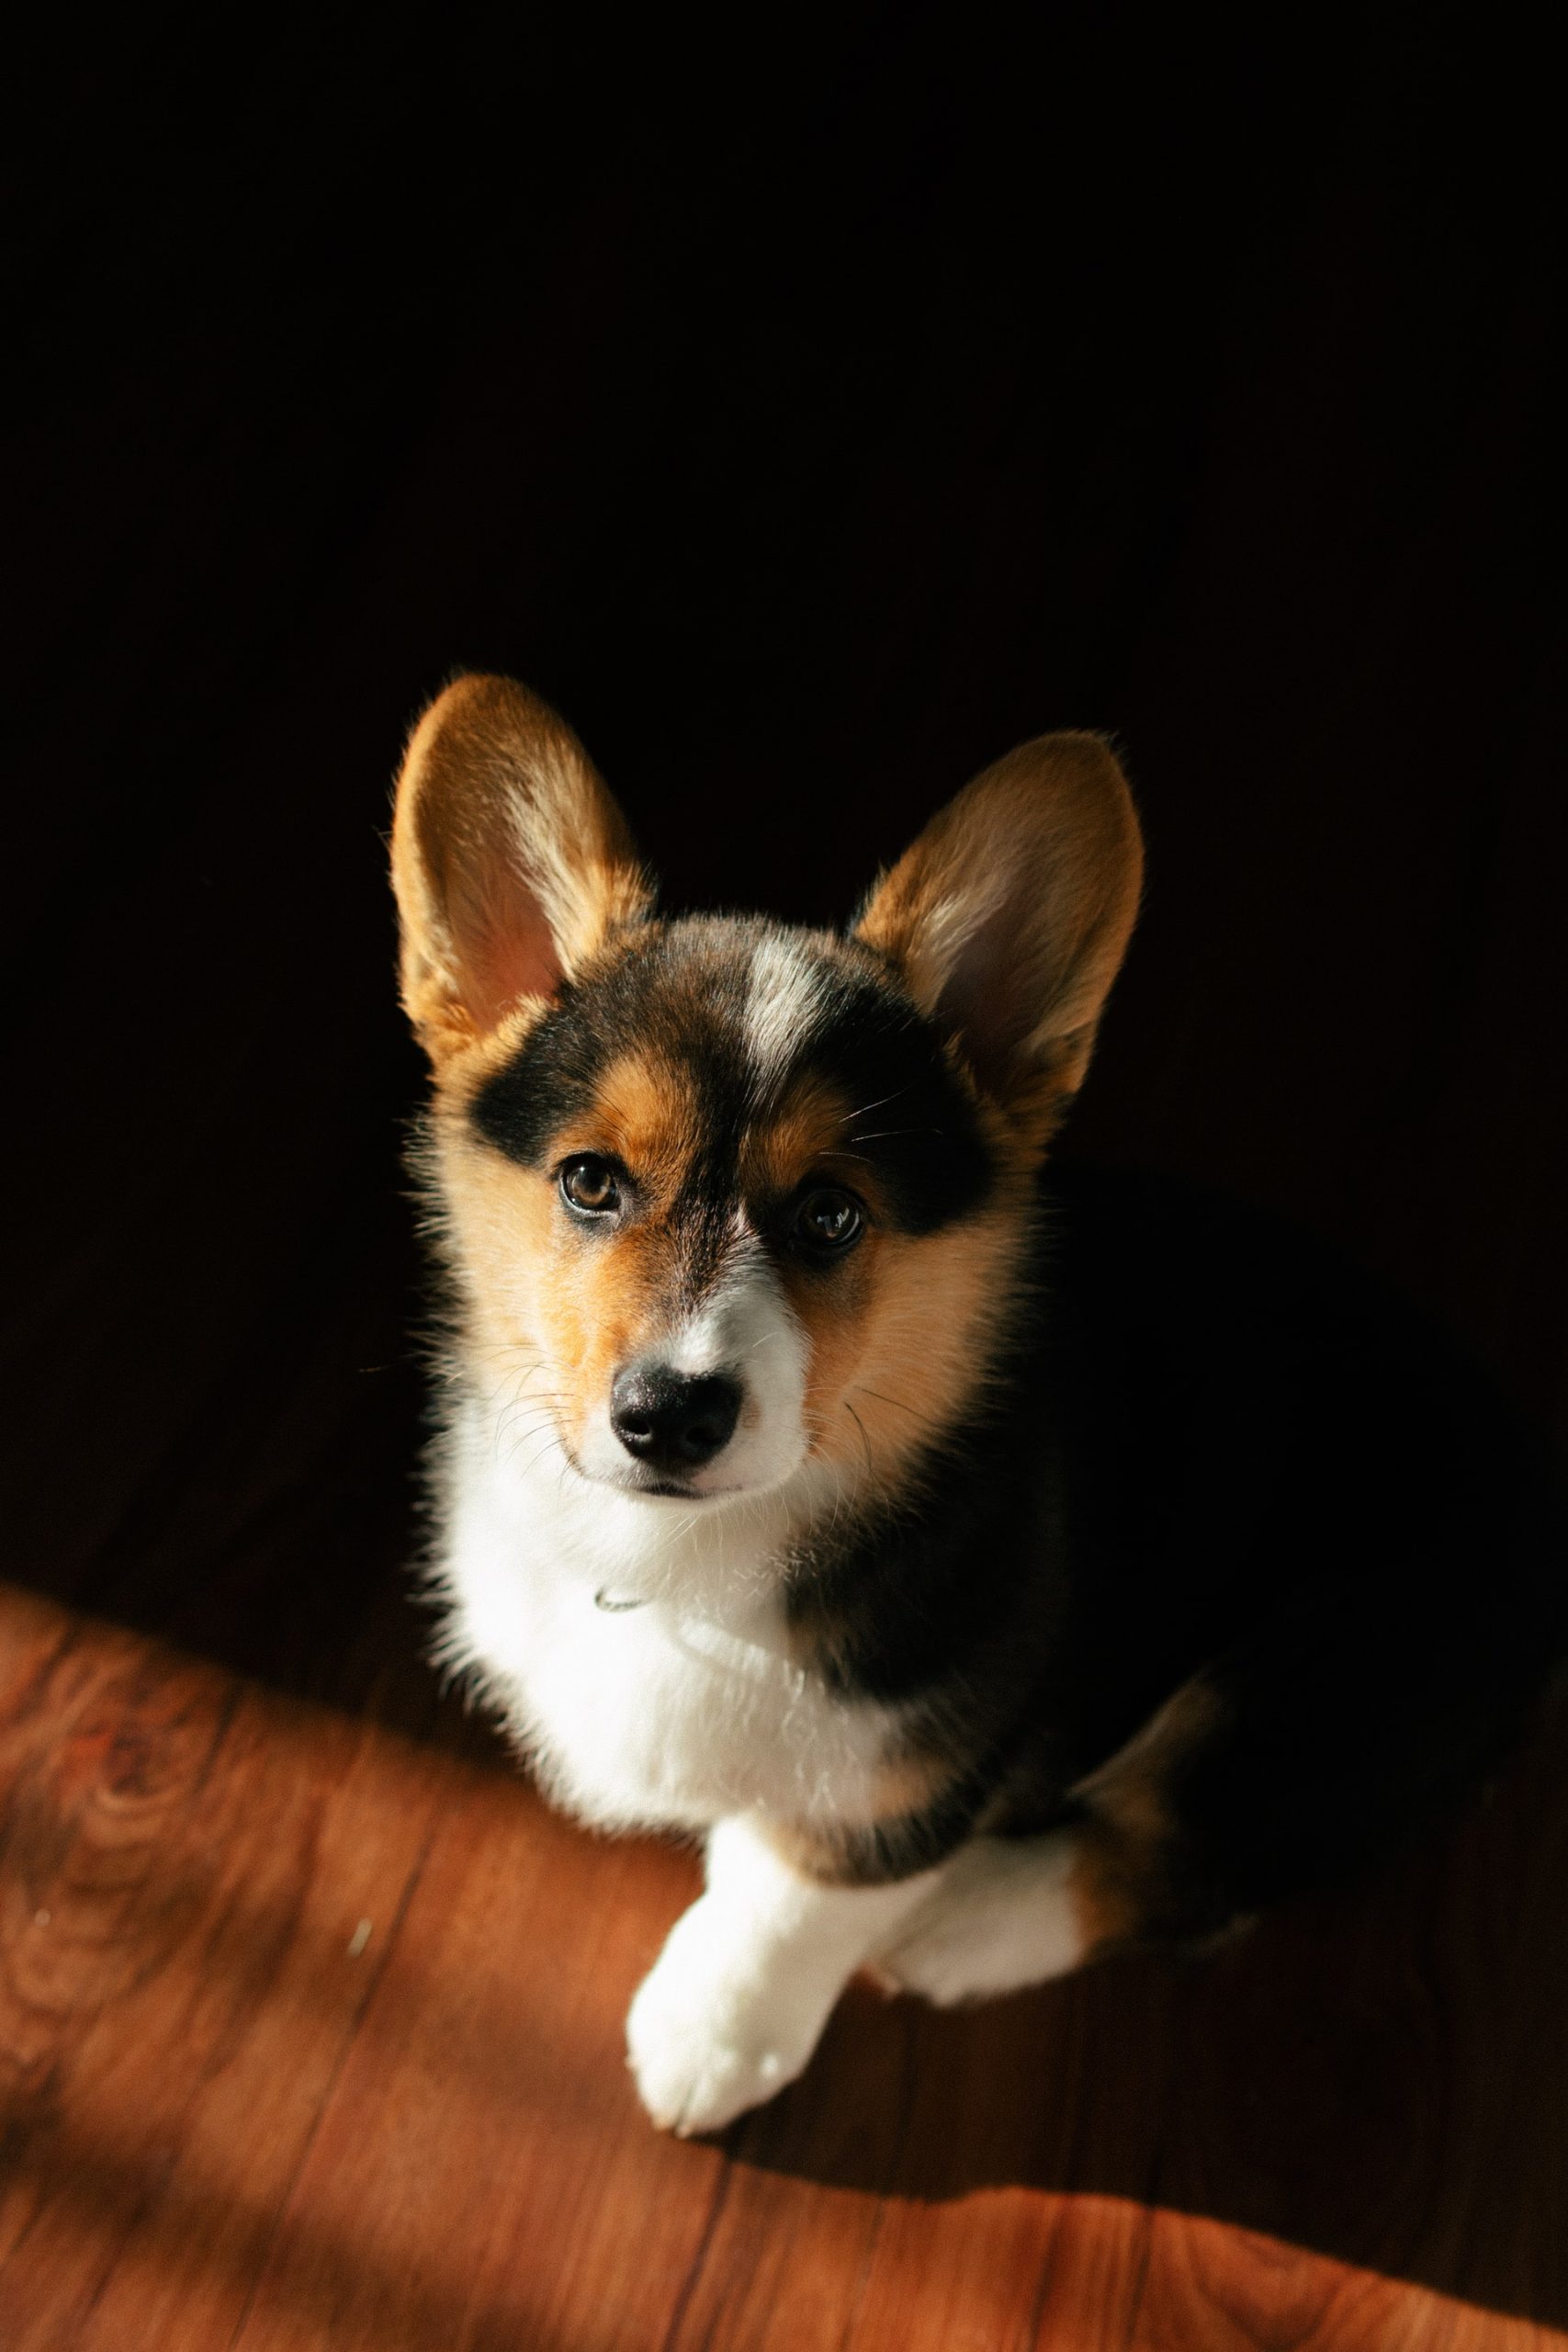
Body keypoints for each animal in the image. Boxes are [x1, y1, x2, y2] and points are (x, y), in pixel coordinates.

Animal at [389, 677, 1561, 2135]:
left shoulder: (909, 1774)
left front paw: (711, 2040)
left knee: (1180, 1857)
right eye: (591, 1182)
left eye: (832, 1213)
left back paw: (962, 1925)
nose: (669, 1416)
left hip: (1325, 1673)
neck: (682, 1559)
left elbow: (797, 1898)